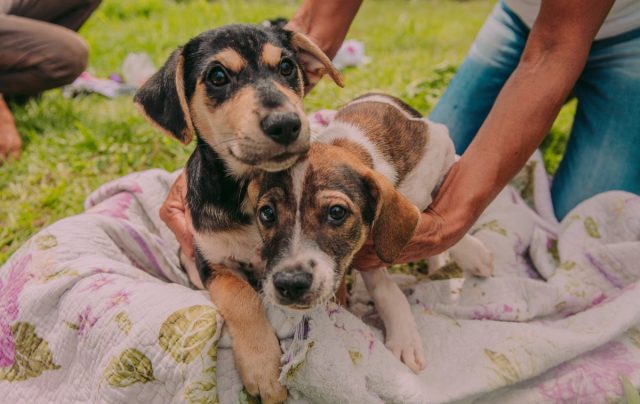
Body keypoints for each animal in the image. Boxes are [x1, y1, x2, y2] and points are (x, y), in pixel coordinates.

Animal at [135, 23, 342, 402]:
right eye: (218, 76)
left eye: (287, 67)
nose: (285, 124)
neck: (248, 190)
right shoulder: (212, 263)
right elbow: (240, 296)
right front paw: (263, 369)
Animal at [252, 93, 492, 374]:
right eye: (267, 214)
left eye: (336, 212)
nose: (290, 284)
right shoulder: (366, 255)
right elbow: (384, 289)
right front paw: (404, 337)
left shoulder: (439, 148)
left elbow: (440, 213)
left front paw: (474, 255)